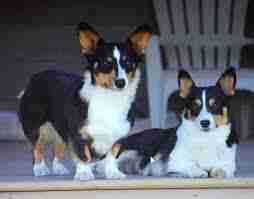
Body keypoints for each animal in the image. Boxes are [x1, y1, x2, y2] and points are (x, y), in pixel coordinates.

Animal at [19, 21, 153, 180]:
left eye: (128, 63)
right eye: (106, 63)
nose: (121, 82)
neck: (110, 99)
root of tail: (33, 79)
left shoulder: (117, 138)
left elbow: (111, 156)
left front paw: (113, 173)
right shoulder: (78, 135)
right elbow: (84, 155)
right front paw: (84, 174)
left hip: (61, 128)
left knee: (59, 146)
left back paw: (58, 168)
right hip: (35, 127)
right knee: (37, 147)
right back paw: (40, 169)